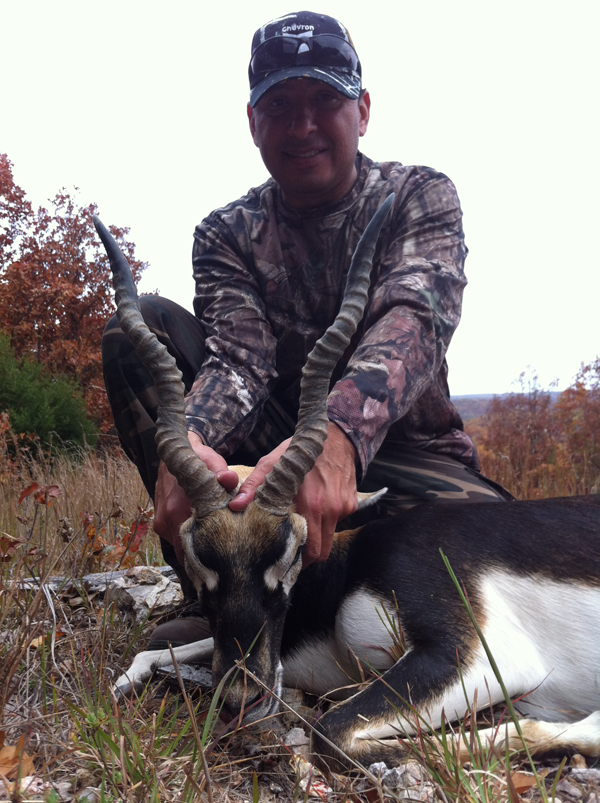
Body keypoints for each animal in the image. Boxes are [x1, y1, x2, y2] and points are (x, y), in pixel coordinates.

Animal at [94, 196, 600, 772]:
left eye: (292, 552)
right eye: (194, 557)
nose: (241, 699)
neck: (346, 573)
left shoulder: (476, 655)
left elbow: (332, 732)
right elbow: (155, 650)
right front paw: (120, 686)